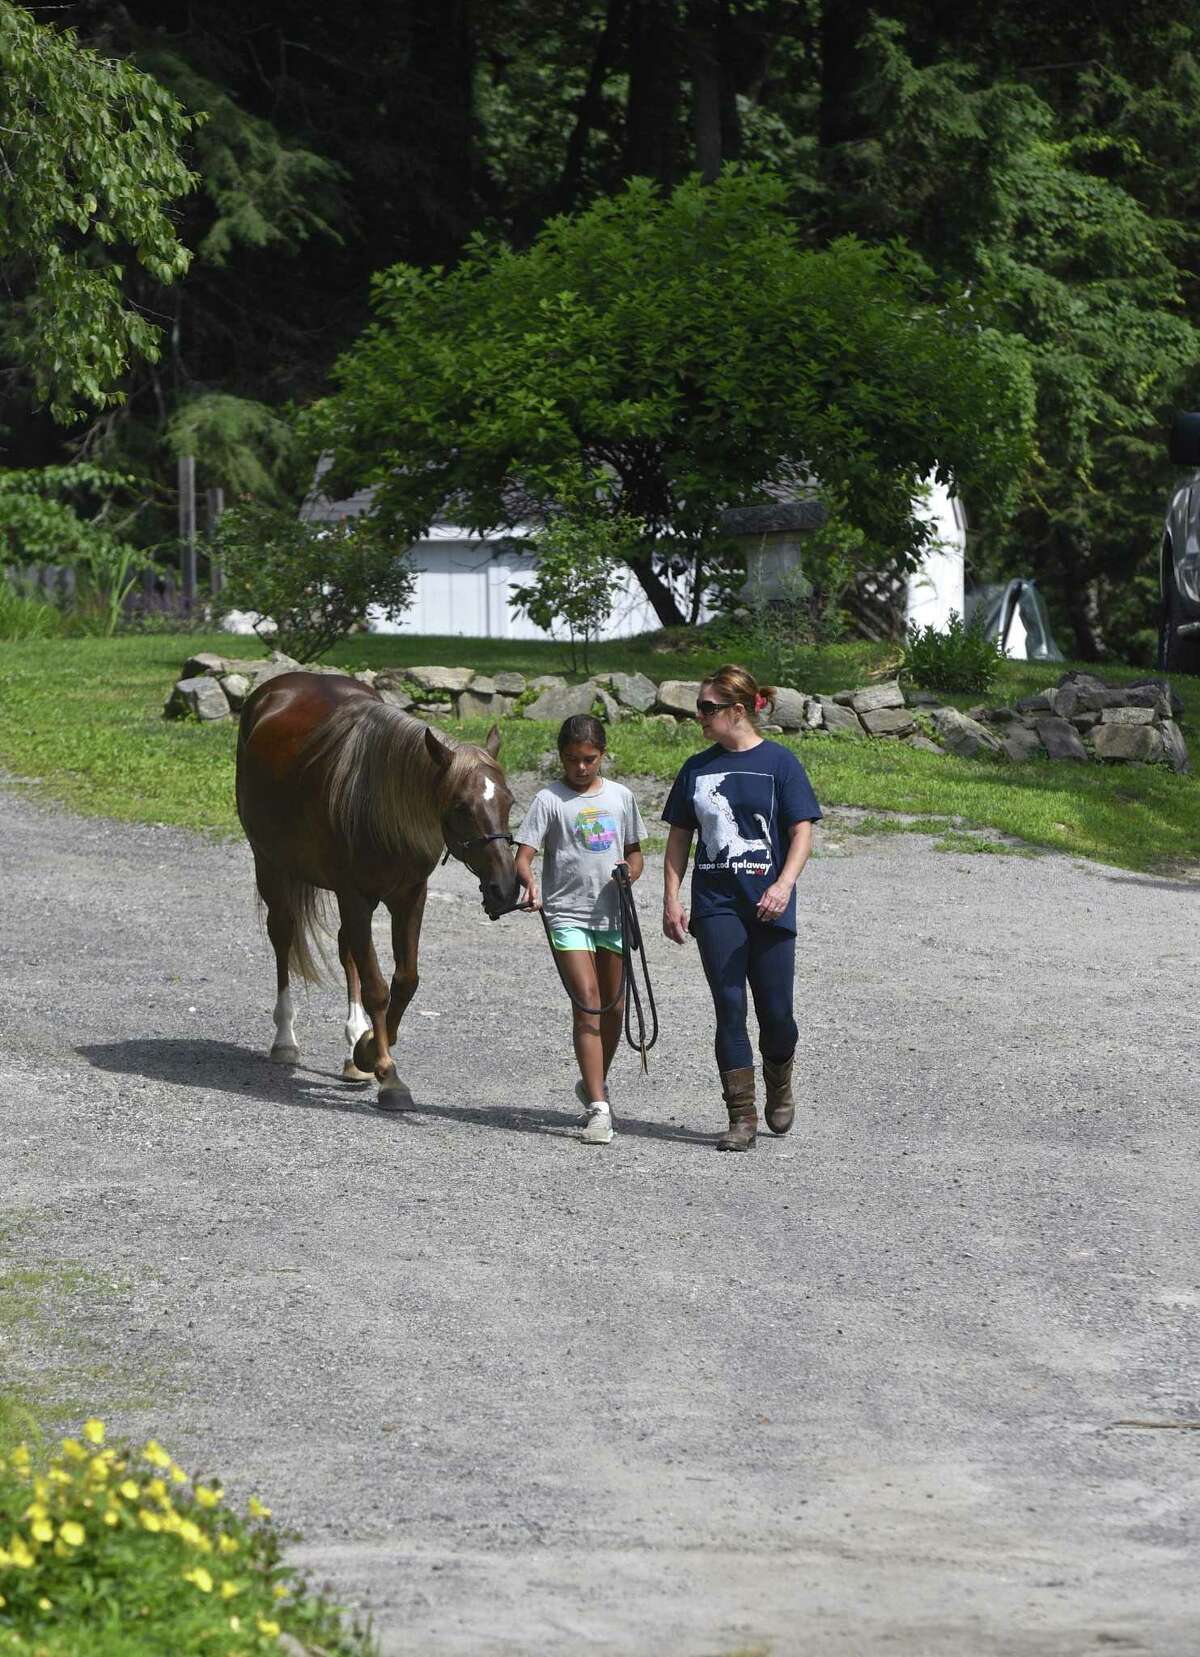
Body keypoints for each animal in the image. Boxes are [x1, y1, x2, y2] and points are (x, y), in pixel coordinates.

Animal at [235, 671, 522, 1109]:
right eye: (460, 806)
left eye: (509, 801)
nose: (505, 888)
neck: (376, 806)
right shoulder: (354, 896)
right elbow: (376, 989)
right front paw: (387, 1072)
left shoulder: (409, 896)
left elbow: (405, 980)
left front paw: (367, 1048)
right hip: (270, 864)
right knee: (283, 935)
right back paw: (285, 1039)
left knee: (345, 950)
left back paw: (352, 1044)